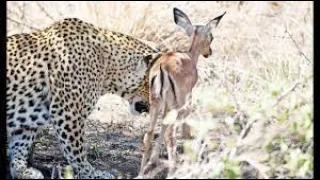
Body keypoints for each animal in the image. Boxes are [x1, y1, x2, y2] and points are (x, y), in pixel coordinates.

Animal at [8, 17, 160, 179]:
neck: (108, 66)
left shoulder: (29, 115)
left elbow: (21, 143)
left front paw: (21, 170)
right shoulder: (68, 113)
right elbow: (76, 152)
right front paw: (92, 173)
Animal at [139, 8, 226, 177]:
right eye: (211, 37)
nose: (209, 52)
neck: (190, 56)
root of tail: (163, 67)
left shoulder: (167, 106)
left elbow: (162, 126)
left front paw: (154, 161)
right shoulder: (186, 104)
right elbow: (184, 130)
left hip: (156, 103)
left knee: (150, 133)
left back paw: (141, 173)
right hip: (175, 106)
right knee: (170, 135)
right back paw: (172, 172)